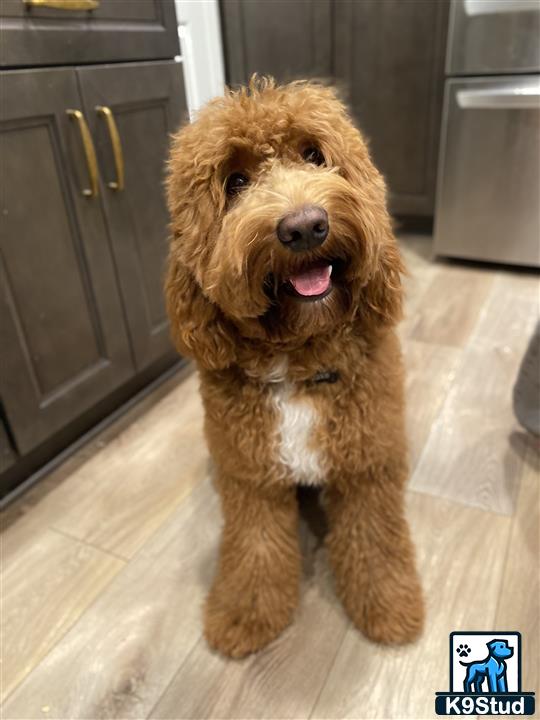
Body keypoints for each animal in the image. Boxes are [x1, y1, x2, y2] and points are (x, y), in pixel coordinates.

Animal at [162, 77, 424, 660]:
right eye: (235, 181)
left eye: (314, 155)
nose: (305, 227)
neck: (299, 364)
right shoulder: (252, 478)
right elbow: (255, 548)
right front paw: (244, 616)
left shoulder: (366, 467)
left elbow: (375, 540)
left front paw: (389, 607)